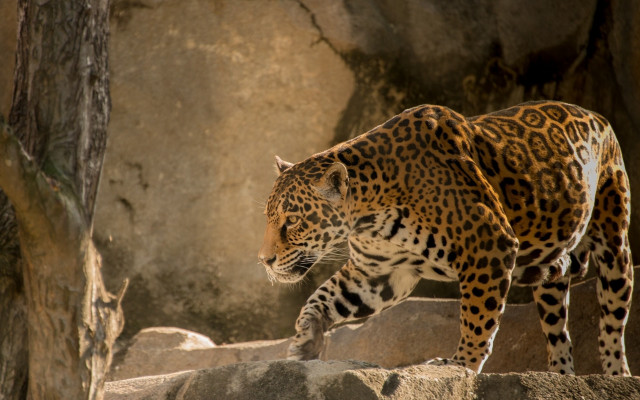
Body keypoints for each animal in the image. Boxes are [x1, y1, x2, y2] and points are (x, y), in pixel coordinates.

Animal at [258, 100, 633, 375]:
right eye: (269, 219)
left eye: (292, 221)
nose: (265, 260)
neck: (369, 212)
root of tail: (598, 117)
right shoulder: (378, 273)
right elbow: (323, 298)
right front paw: (306, 339)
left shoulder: (488, 245)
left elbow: (477, 317)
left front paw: (461, 364)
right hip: (551, 277)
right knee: (559, 332)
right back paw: (560, 376)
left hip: (614, 244)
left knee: (612, 325)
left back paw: (616, 376)